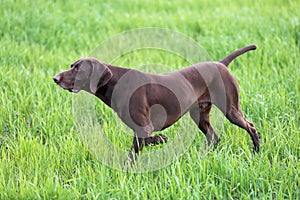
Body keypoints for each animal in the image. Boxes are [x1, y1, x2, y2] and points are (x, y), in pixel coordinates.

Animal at [54, 45, 260, 161]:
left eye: (78, 69)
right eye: (72, 66)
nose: (55, 78)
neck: (115, 83)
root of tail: (221, 64)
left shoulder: (145, 127)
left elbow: (142, 145)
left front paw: (161, 139)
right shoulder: (140, 129)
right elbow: (140, 147)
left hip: (230, 109)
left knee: (250, 127)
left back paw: (256, 151)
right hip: (200, 115)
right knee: (214, 138)